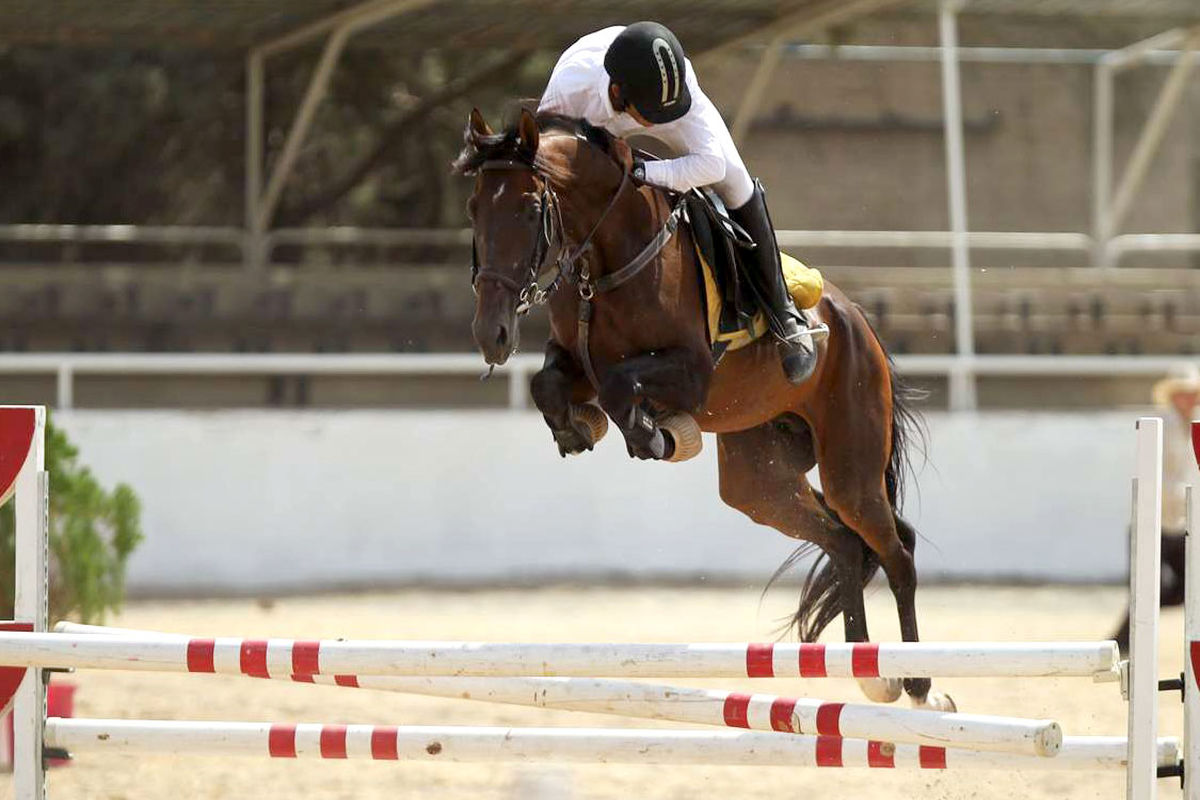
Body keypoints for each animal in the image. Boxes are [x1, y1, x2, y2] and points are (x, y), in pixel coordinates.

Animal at [453, 106, 950, 714]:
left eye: (528, 208)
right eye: (474, 209)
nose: (492, 334)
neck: (608, 256)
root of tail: (859, 322)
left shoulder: (692, 371)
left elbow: (621, 387)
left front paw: (657, 435)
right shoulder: (575, 359)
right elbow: (549, 384)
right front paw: (579, 428)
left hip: (849, 465)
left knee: (895, 550)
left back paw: (920, 685)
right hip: (759, 481)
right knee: (844, 543)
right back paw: (869, 672)